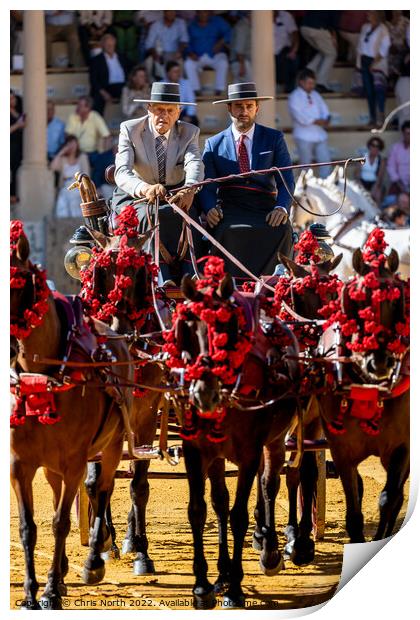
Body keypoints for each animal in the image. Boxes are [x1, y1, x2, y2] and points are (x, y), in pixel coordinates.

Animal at [9, 220, 133, 608]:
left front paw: (50, 590)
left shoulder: (77, 459)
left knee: (103, 488)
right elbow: (29, 527)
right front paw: (31, 592)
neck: (44, 378)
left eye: (16, 281)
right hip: (52, 465)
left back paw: (94, 558)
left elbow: (61, 522)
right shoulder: (20, 464)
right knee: (58, 494)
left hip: (113, 444)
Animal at [165, 258, 302, 612]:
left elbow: (240, 515)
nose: (204, 392)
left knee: (271, 484)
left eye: (225, 329)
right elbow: (200, 510)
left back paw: (270, 549)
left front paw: (236, 588)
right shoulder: (196, 451)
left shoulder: (250, 452)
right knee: (220, 503)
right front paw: (203, 585)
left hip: (275, 440)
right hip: (217, 455)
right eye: (187, 329)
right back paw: (223, 573)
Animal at [316, 230, 408, 540]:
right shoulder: (342, 449)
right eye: (357, 301)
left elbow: (389, 499)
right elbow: (354, 508)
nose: (378, 362)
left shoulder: (402, 446)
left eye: (396, 300)